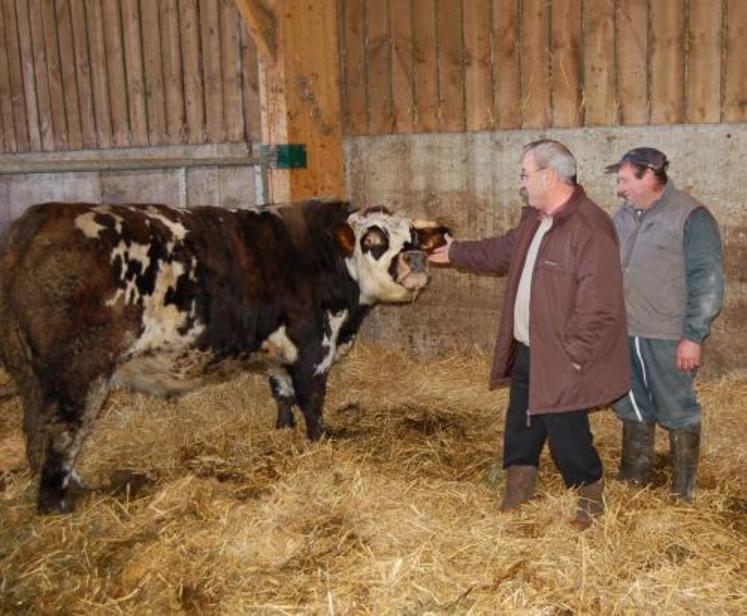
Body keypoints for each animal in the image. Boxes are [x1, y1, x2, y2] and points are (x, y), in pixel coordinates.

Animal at [0, 200, 448, 512]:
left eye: (413, 235)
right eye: (372, 238)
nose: (415, 259)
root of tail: (39, 218)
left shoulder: (277, 352)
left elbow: (281, 392)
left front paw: (282, 429)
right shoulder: (313, 350)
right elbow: (313, 403)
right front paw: (321, 442)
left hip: (34, 377)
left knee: (38, 431)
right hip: (78, 373)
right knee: (62, 434)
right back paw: (58, 504)